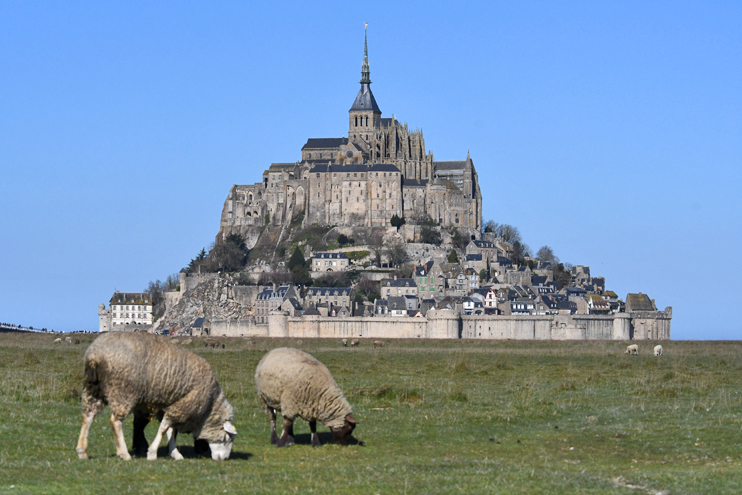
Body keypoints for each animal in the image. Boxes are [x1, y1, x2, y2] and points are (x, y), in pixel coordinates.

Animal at [75, 332, 238, 464]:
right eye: (227, 438)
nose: (224, 459)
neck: (209, 406)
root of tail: (95, 354)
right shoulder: (183, 406)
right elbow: (164, 429)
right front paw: (152, 453)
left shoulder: (171, 406)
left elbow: (171, 432)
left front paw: (174, 453)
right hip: (122, 391)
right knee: (115, 421)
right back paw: (124, 453)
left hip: (92, 389)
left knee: (87, 417)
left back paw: (82, 451)